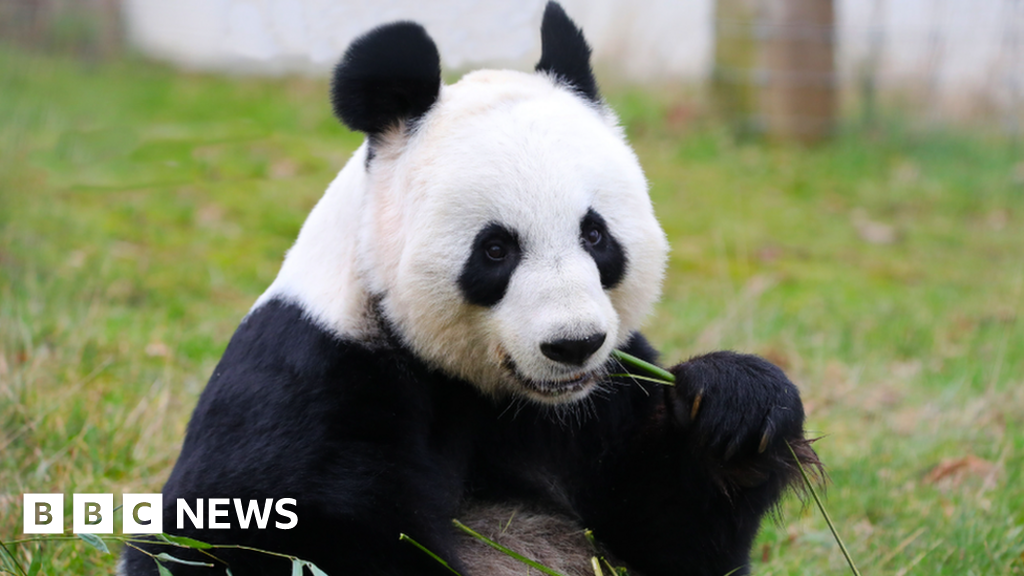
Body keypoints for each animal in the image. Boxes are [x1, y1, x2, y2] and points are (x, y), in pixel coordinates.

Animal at [119, 4, 815, 573]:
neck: (488, 391)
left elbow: (670, 533)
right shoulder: (311, 376)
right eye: (496, 249)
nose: (573, 345)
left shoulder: (599, 401)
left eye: (595, 235)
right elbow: (231, 539)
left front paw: (733, 404)